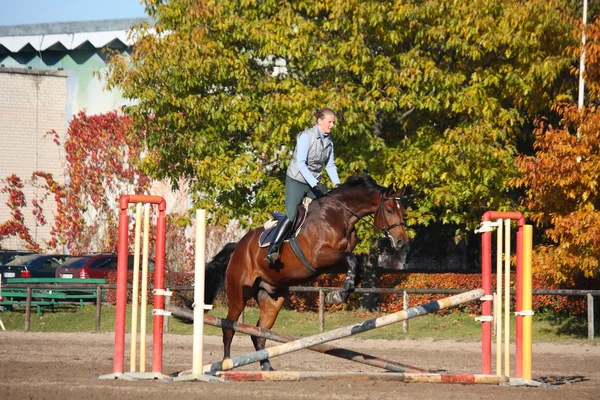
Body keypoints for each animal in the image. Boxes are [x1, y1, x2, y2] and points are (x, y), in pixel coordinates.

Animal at [203, 173, 408, 370]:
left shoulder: (331, 262)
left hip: (272, 298)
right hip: (239, 294)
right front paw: (337, 296)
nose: (401, 242)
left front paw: (340, 293)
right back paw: (226, 364)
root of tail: (238, 246)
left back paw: (266, 366)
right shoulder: (319, 257)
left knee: (259, 333)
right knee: (229, 327)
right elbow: (352, 259)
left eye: (403, 211)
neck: (339, 215)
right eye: (389, 210)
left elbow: (356, 265)